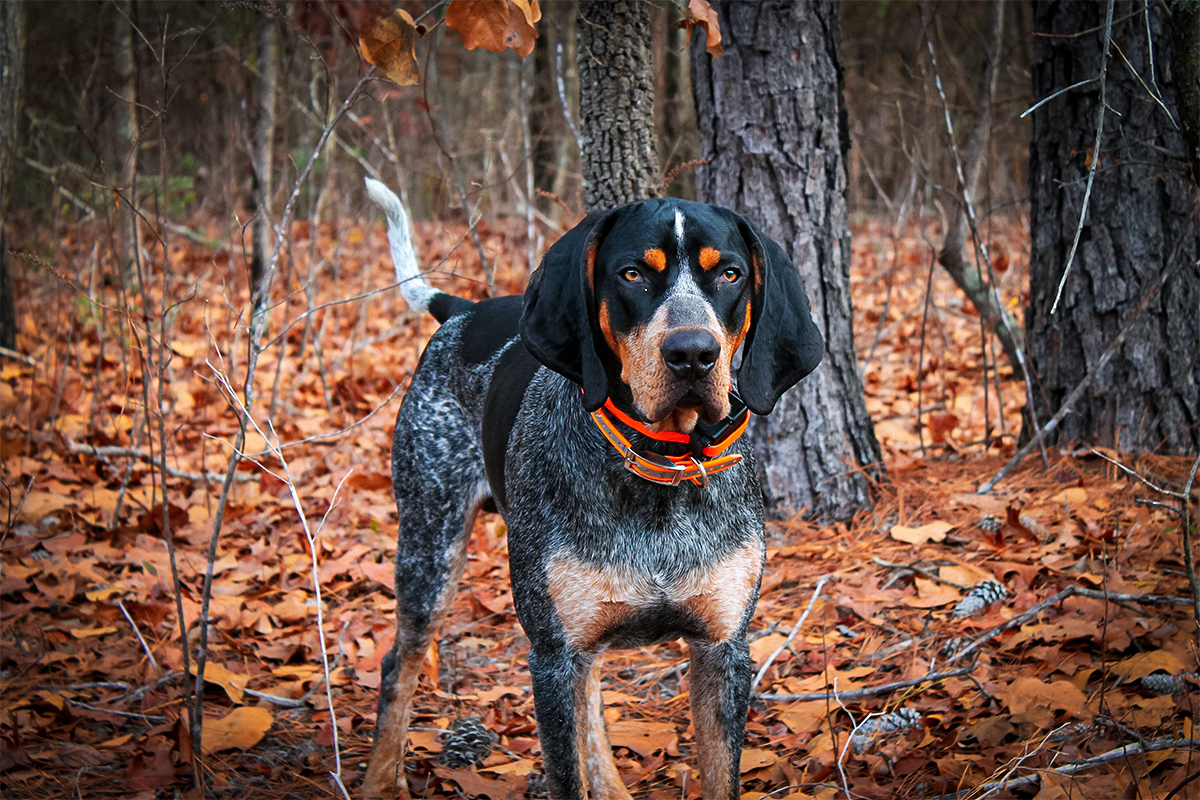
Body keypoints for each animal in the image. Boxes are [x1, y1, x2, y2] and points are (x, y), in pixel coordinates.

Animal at [360, 181, 820, 800]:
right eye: (631, 274)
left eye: (729, 274)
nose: (693, 353)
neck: (660, 469)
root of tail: (465, 310)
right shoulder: (552, 657)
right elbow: (565, 771)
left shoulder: (723, 651)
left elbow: (718, 775)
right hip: (430, 547)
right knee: (399, 666)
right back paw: (378, 779)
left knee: (592, 697)